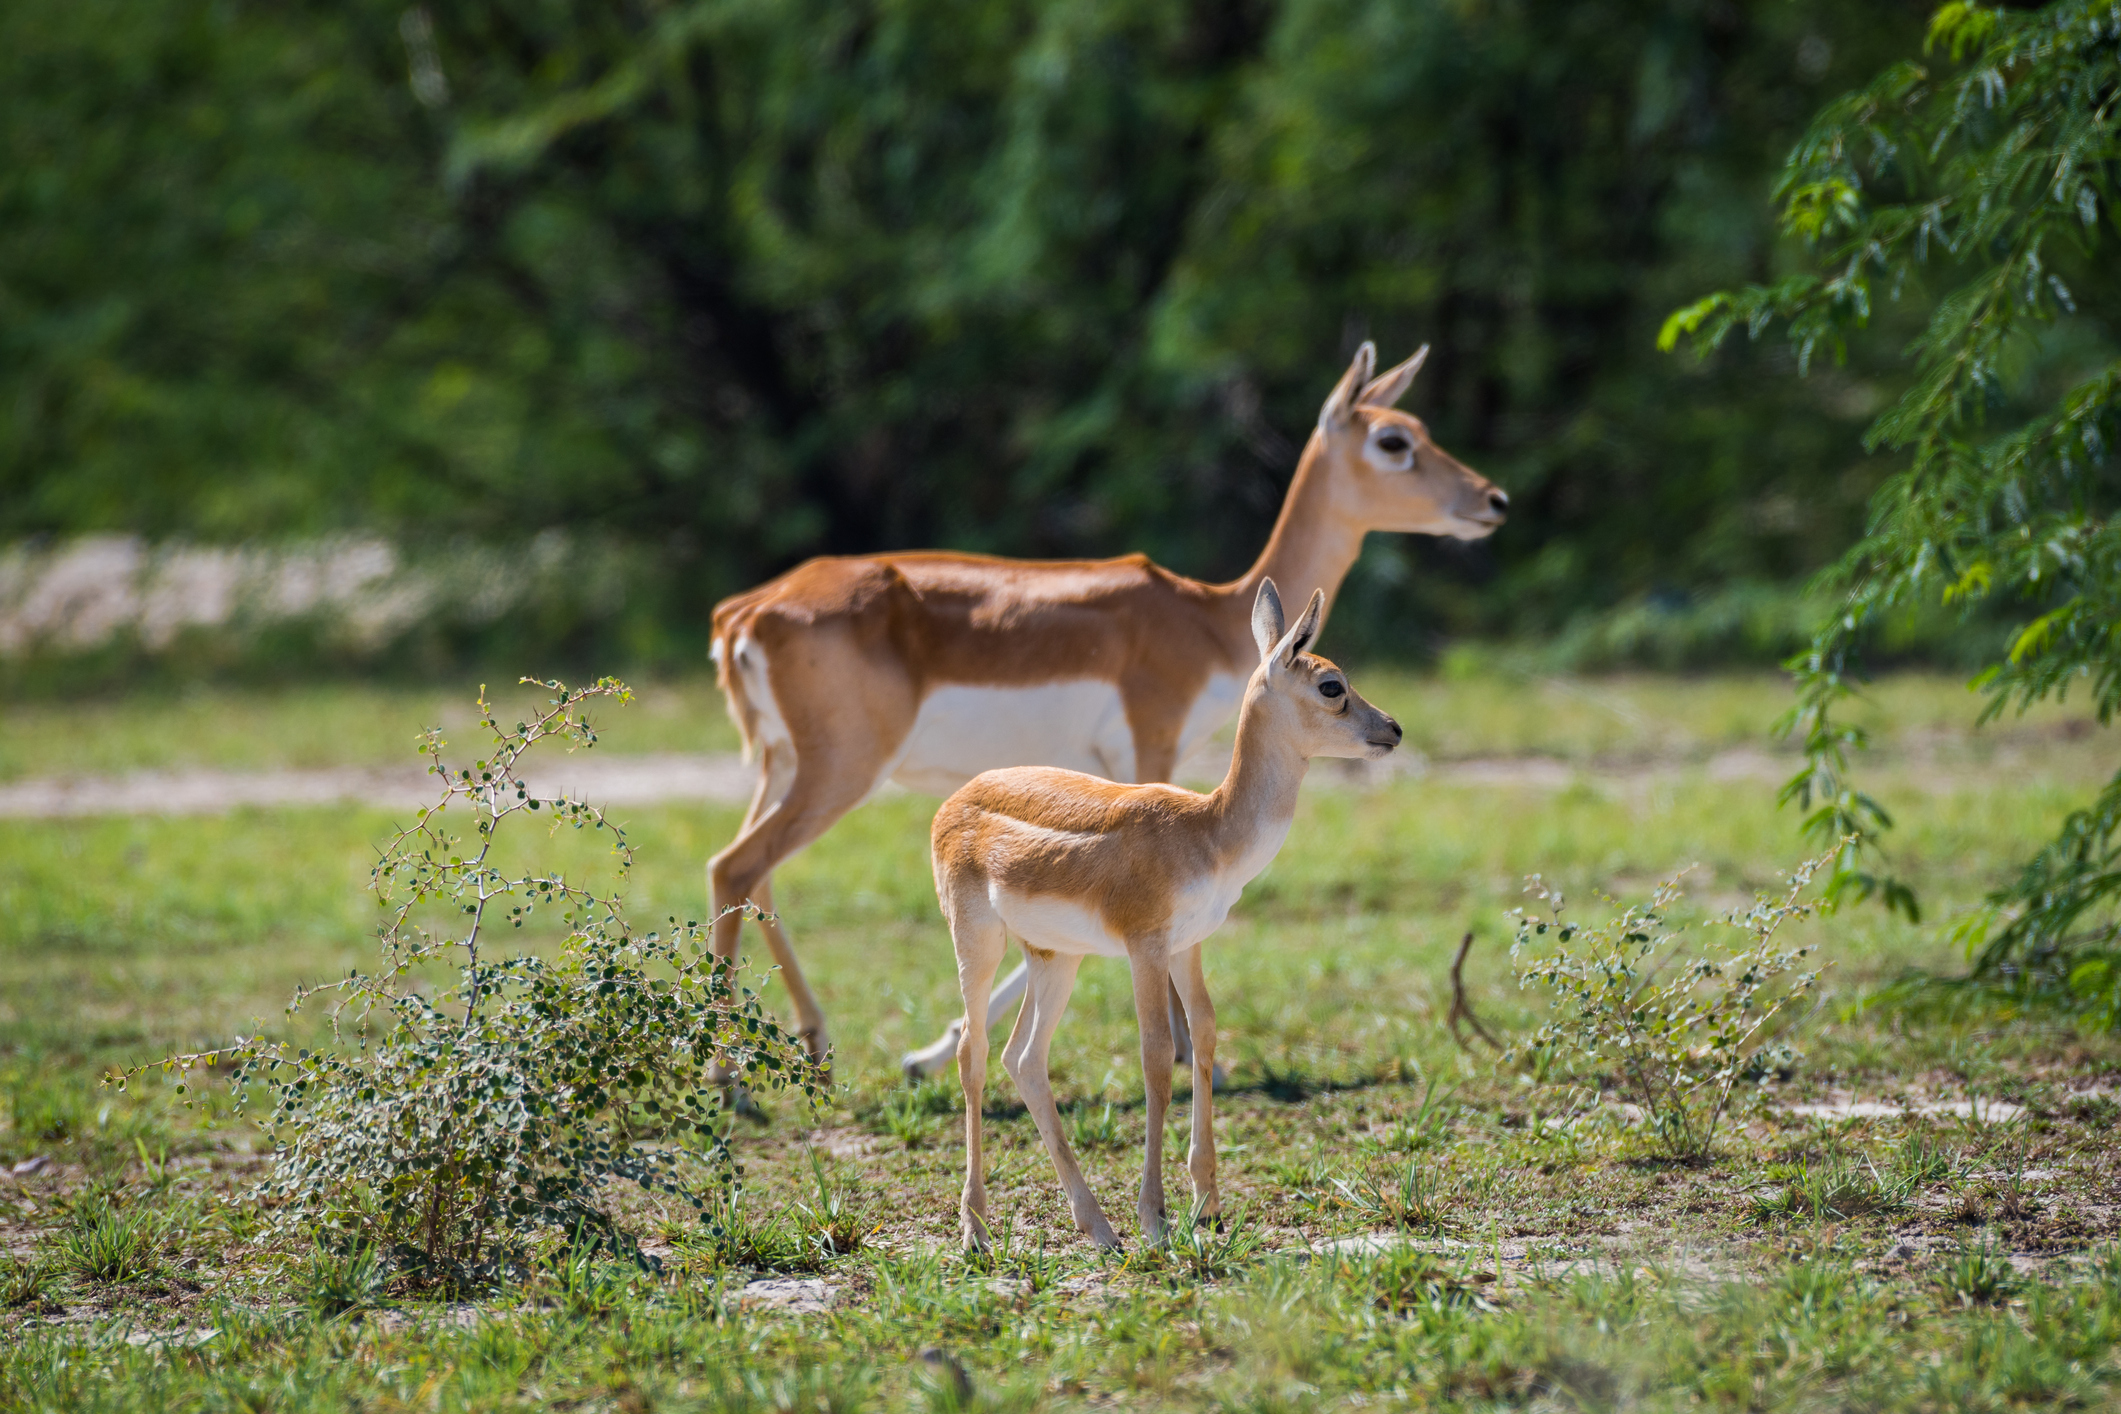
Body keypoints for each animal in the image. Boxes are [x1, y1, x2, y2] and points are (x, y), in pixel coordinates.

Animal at [704, 343, 1501, 1072]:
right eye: (1392, 441)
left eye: (1419, 426)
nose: (1493, 501)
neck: (1209, 621)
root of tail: (749, 611)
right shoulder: (1150, 750)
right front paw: (1186, 1050)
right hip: (841, 771)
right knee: (735, 867)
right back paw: (728, 1074)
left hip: (783, 766)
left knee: (750, 872)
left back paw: (810, 1040)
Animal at [941, 580, 1399, 1246]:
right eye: (1332, 685)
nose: (1393, 728)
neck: (1208, 830)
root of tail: (954, 800)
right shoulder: (1145, 945)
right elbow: (1156, 1056)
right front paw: (1155, 1216)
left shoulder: (1189, 944)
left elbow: (1204, 1034)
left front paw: (1206, 1201)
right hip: (978, 941)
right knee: (972, 1053)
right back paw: (977, 1228)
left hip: (1056, 957)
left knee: (1023, 1059)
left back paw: (1097, 1228)